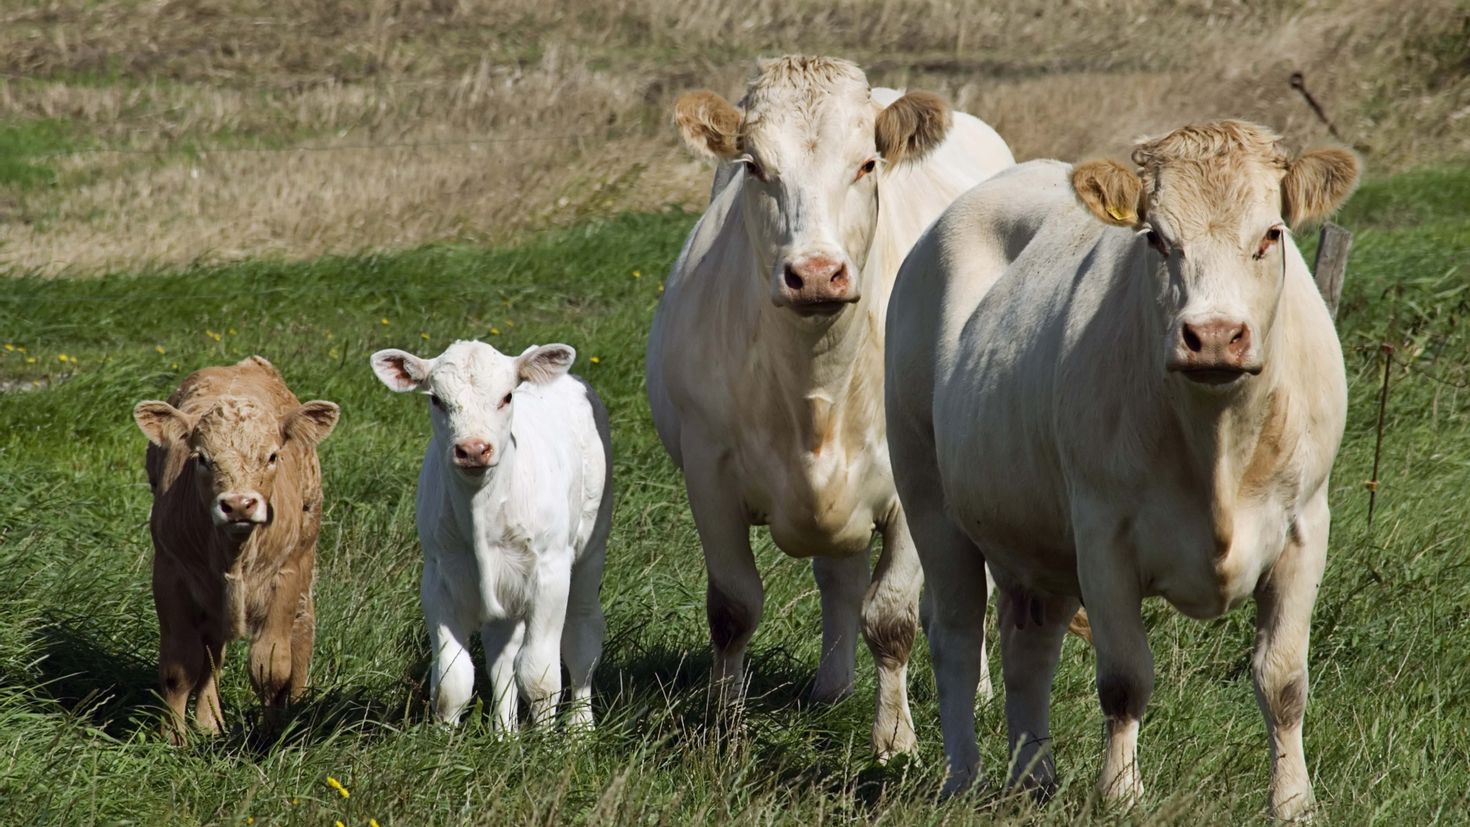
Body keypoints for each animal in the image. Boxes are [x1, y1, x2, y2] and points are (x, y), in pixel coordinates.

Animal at [131, 355, 338, 743]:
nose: (239, 504)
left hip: (304, 559)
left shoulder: (284, 578)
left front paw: (271, 736)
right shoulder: (170, 574)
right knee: (213, 652)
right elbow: (180, 666)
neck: (234, 552)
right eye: (201, 458)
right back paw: (209, 722)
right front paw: (174, 738)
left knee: (302, 628)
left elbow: (271, 667)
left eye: (272, 456)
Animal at [379, 339, 614, 728]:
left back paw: (580, 728)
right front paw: (442, 741)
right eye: (436, 399)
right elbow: (452, 681)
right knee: (502, 655)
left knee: (582, 638)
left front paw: (547, 740)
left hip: (590, 548)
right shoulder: (438, 577)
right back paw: (506, 732)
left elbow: (539, 675)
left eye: (506, 397)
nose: (473, 449)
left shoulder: (550, 573)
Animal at [649, 55, 1017, 757]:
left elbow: (894, 615)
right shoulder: (708, 475)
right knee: (839, 579)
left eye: (867, 163)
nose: (816, 273)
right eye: (754, 166)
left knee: (964, 591)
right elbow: (734, 609)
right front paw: (726, 732)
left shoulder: (910, 486)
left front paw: (895, 740)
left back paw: (980, 691)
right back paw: (832, 688)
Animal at [882, 122, 1352, 822]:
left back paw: (1033, 776)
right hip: (928, 498)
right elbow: (1126, 679)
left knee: (1029, 650)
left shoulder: (1304, 528)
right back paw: (963, 777)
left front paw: (1294, 802)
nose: (1215, 336)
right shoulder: (1103, 537)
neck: (1217, 442)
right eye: (1155, 236)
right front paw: (1121, 794)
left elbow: (1283, 679)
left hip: (1035, 538)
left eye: (1271, 234)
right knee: (957, 638)